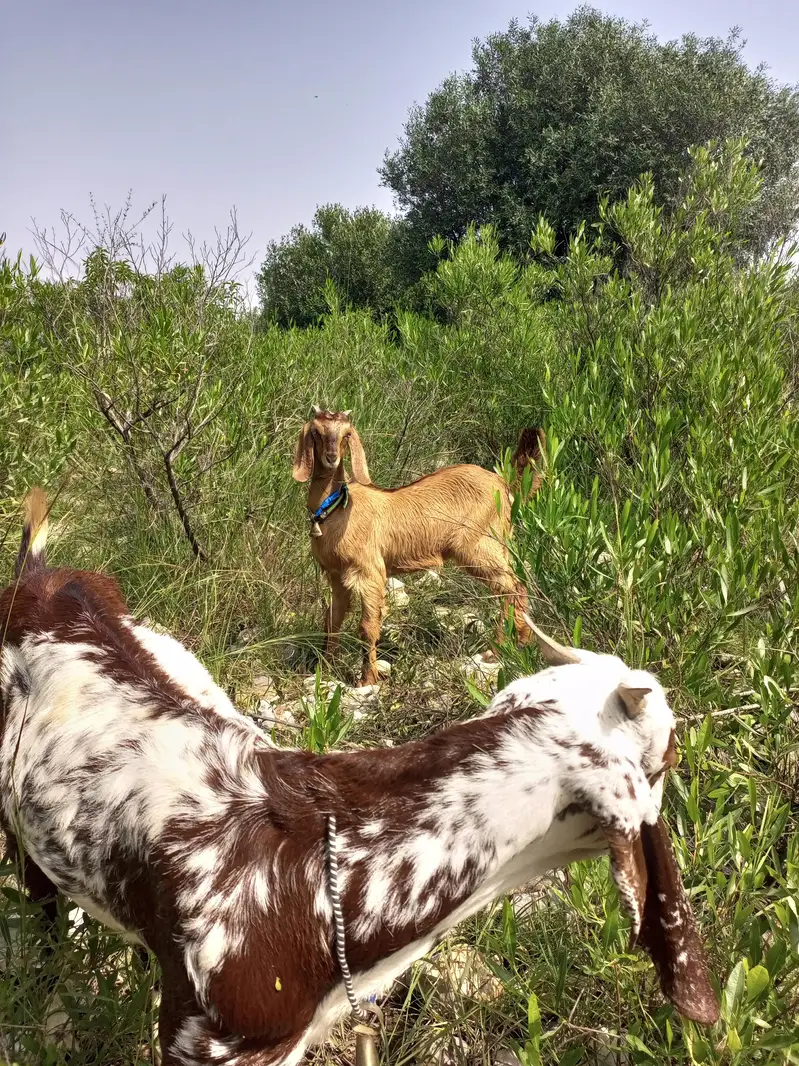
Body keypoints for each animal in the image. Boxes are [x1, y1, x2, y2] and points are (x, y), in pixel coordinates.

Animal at [292, 408, 545, 685]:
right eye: (316, 432)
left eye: (347, 434)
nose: (331, 457)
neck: (336, 509)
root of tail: (503, 484)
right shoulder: (336, 575)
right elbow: (333, 620)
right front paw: (325, 668)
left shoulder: (370, 572)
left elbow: (367, 627)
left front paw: (367, 680)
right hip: (497, 546)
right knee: (510, 589)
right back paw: (512, 643)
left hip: (480, 546)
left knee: (514, 588)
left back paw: (502, 648)